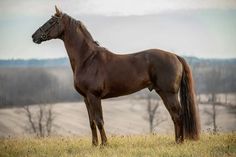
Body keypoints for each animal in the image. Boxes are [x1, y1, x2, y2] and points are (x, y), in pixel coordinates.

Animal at [32, 6, 200, 146]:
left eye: (51, 21)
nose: (34, 36)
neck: (87, 59)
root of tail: (175, 56)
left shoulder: (94, 96)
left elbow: (99, 121)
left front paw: (104, 145)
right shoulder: (86, 98)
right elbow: (91, 122)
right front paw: (94, 145)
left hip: (168, 93)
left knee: (178, 115)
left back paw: (179, 142)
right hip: (165, 93)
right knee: (175, 116)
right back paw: (177, 141)